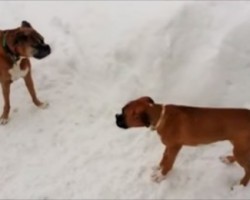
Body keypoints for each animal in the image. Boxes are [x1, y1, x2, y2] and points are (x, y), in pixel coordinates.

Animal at [115, 96, 250, 187]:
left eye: (124, 113)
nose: (115, 117)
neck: (160, 116)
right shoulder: (169, 146)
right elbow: (164, 157)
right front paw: (159, 167)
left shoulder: (175, 147)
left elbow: (169, 162)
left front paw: (161, 175)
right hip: (238, 145)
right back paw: (228, 159)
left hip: (240, 149)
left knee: (248, 169)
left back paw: (241, 184)